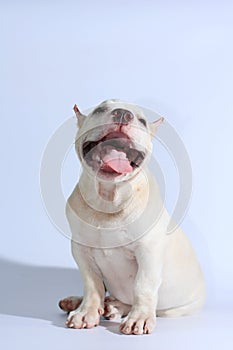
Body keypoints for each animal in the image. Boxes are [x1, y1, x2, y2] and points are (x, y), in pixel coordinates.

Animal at [59, 100, 205, 334]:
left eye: (143, 121)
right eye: (100, 109)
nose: (122, 114)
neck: (108, 198)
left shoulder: (148, 250)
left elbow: (142, 286)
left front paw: (140, 317)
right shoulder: (81, 250)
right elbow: (92, 284)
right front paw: (86, 311)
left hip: (177, 308)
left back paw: (116, 307)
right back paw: (81, 302)